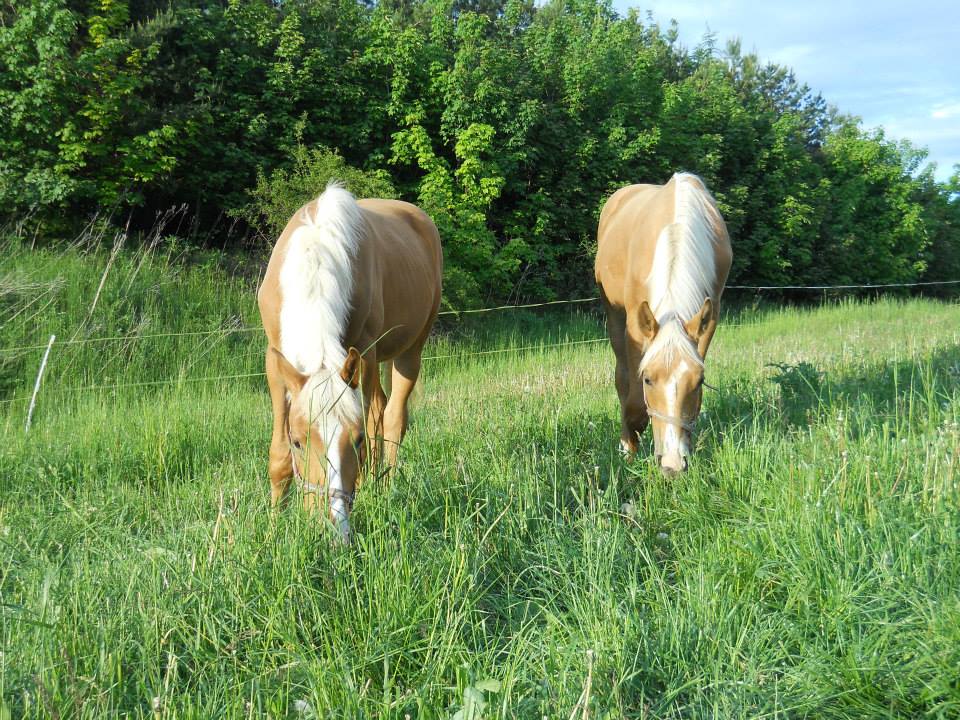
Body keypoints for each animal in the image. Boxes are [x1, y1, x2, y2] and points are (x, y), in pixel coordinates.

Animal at [258, 183, 446, 536]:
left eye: (354, 441)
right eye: (298, 442)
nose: (332, 524)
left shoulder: (365, 353)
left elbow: (372, 426)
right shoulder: (276, 363)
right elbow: (278, 455)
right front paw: (274, 527)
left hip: (409, 352)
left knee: (391, 418)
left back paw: (387, 486)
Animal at [596, 174, 732, 476]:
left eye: (699, 380)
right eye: (648, 378)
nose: (672, 464)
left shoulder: (710, 319)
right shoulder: (636, 326)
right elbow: (634, 403)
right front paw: (629, 449)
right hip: (614, 315)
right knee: (622, 379)